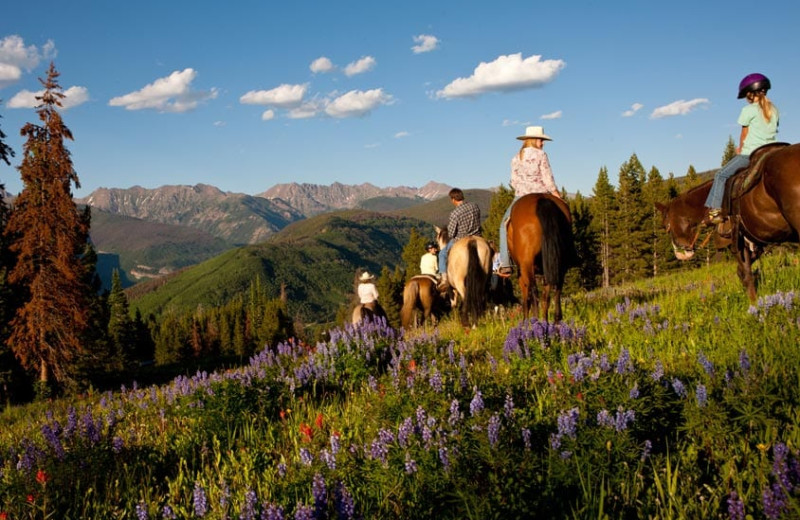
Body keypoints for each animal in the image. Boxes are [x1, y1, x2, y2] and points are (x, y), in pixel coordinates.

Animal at [656, 142, 800, 302]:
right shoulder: (753, 243)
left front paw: (753, 304)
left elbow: (746, 274)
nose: (681, 255)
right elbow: (744, 271)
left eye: (665, 226)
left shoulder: (735, 243)